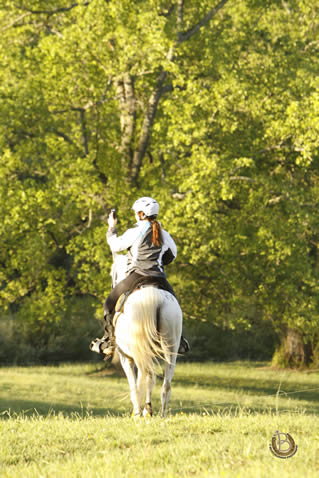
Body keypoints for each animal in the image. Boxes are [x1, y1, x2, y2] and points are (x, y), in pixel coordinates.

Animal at [112, 252, 182, 416]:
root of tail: (153, 296)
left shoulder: (126, 358)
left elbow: (134, 385)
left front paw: (137, 412)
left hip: (139, 352)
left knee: (145, 378)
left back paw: (143, 412)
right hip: (171, 347)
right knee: (165, 384)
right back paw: (161, 415)